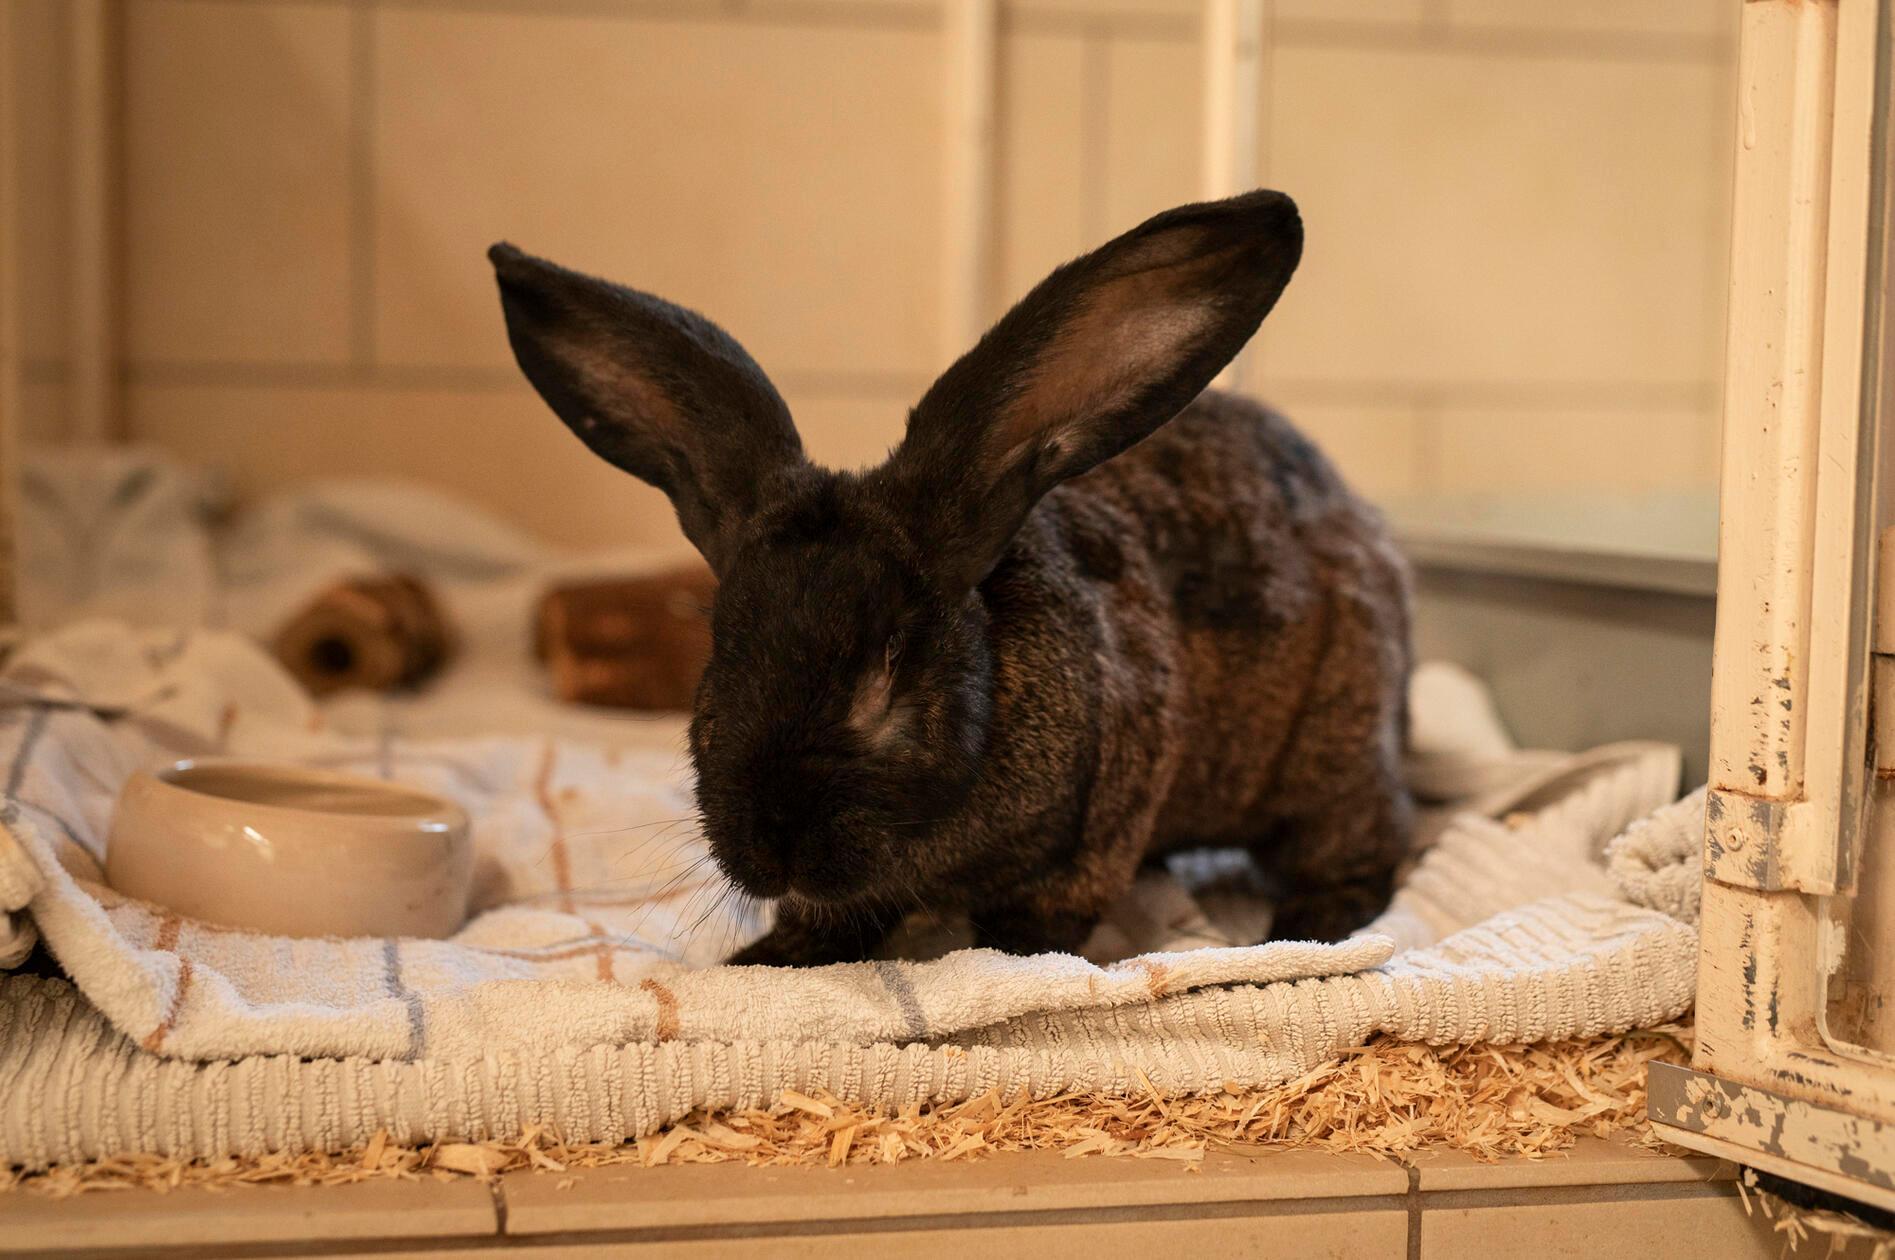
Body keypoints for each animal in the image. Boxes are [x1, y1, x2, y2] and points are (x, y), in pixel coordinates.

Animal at [489, 189, 1414, 966]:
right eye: (717, 652)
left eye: (886, 669)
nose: (773, 847)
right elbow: (831, 924)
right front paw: (763, 960)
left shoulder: (1094, 833)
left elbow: (1039, 921)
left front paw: (1005, 959)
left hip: (1333, 763)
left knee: (1368, 846)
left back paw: (1308, 926)